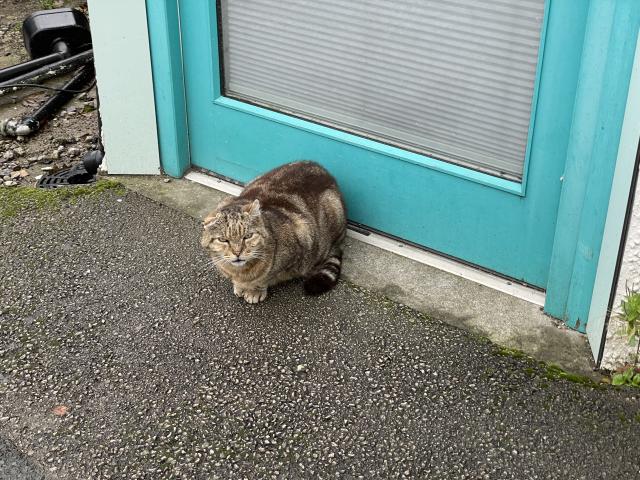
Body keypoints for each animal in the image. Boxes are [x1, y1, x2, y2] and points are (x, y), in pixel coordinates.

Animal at [201, 161, 348, 304]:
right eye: (223, 240)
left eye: (248, 236)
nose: (237, 253)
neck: (240, 272)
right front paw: (239, 286)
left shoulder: (301, 235)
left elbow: (265, 278)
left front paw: (254, 291)